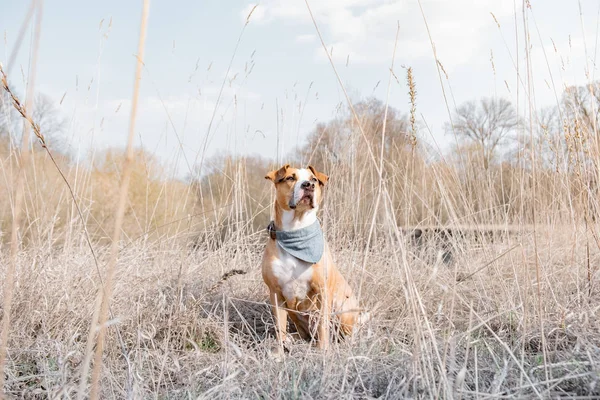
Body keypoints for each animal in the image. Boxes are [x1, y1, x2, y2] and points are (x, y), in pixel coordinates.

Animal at [258, 162, 360, 350]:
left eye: (314, 180)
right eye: (290, 177)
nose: (308, 185)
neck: (296, 231)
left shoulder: (322, 291)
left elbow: (323, 325)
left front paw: (323, 350)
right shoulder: (275, 293)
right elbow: (280, 326)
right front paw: (280, 350)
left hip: (342, 306)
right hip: (295, 315)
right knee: (302, 333)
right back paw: (293, 339)